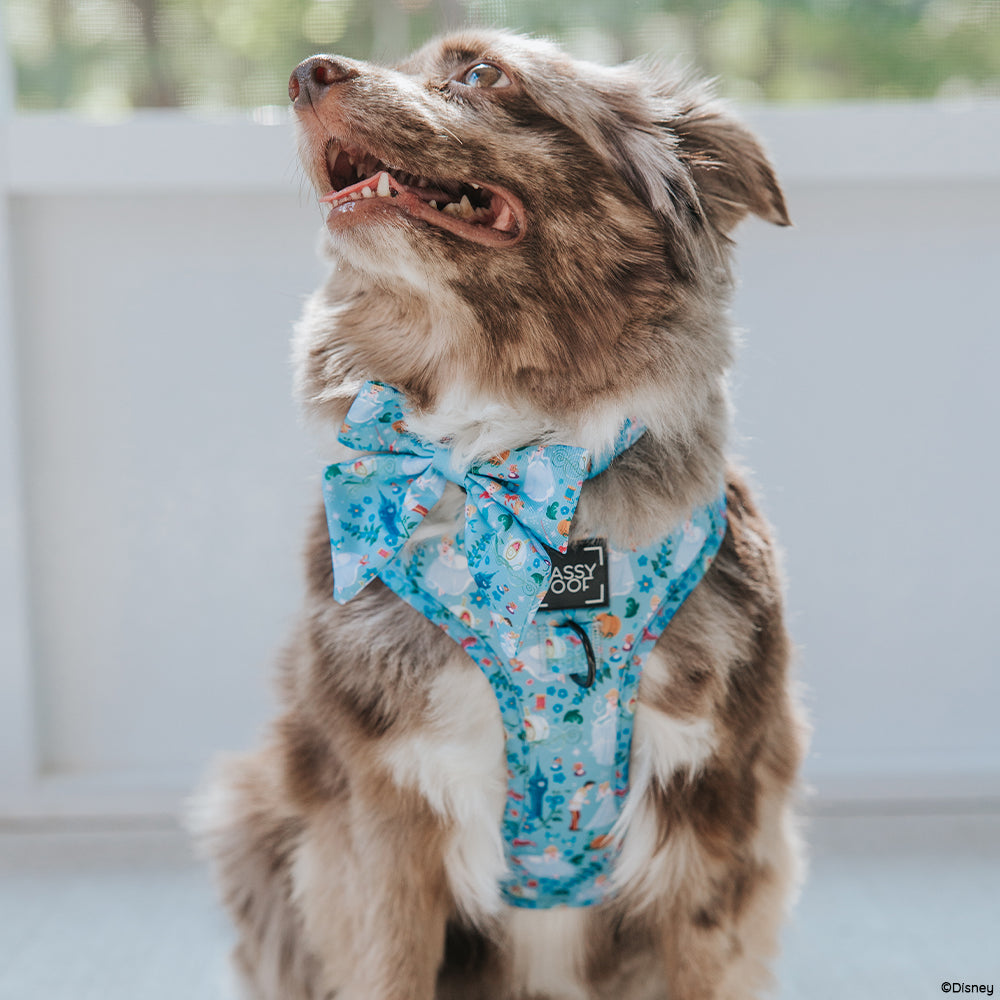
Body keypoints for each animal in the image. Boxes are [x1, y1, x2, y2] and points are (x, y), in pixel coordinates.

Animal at [193, 27, 804, 996]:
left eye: (482, 73)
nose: (304, 73)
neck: (505, 458)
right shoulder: (379, 833)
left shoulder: (720, 826)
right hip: (249, 822)